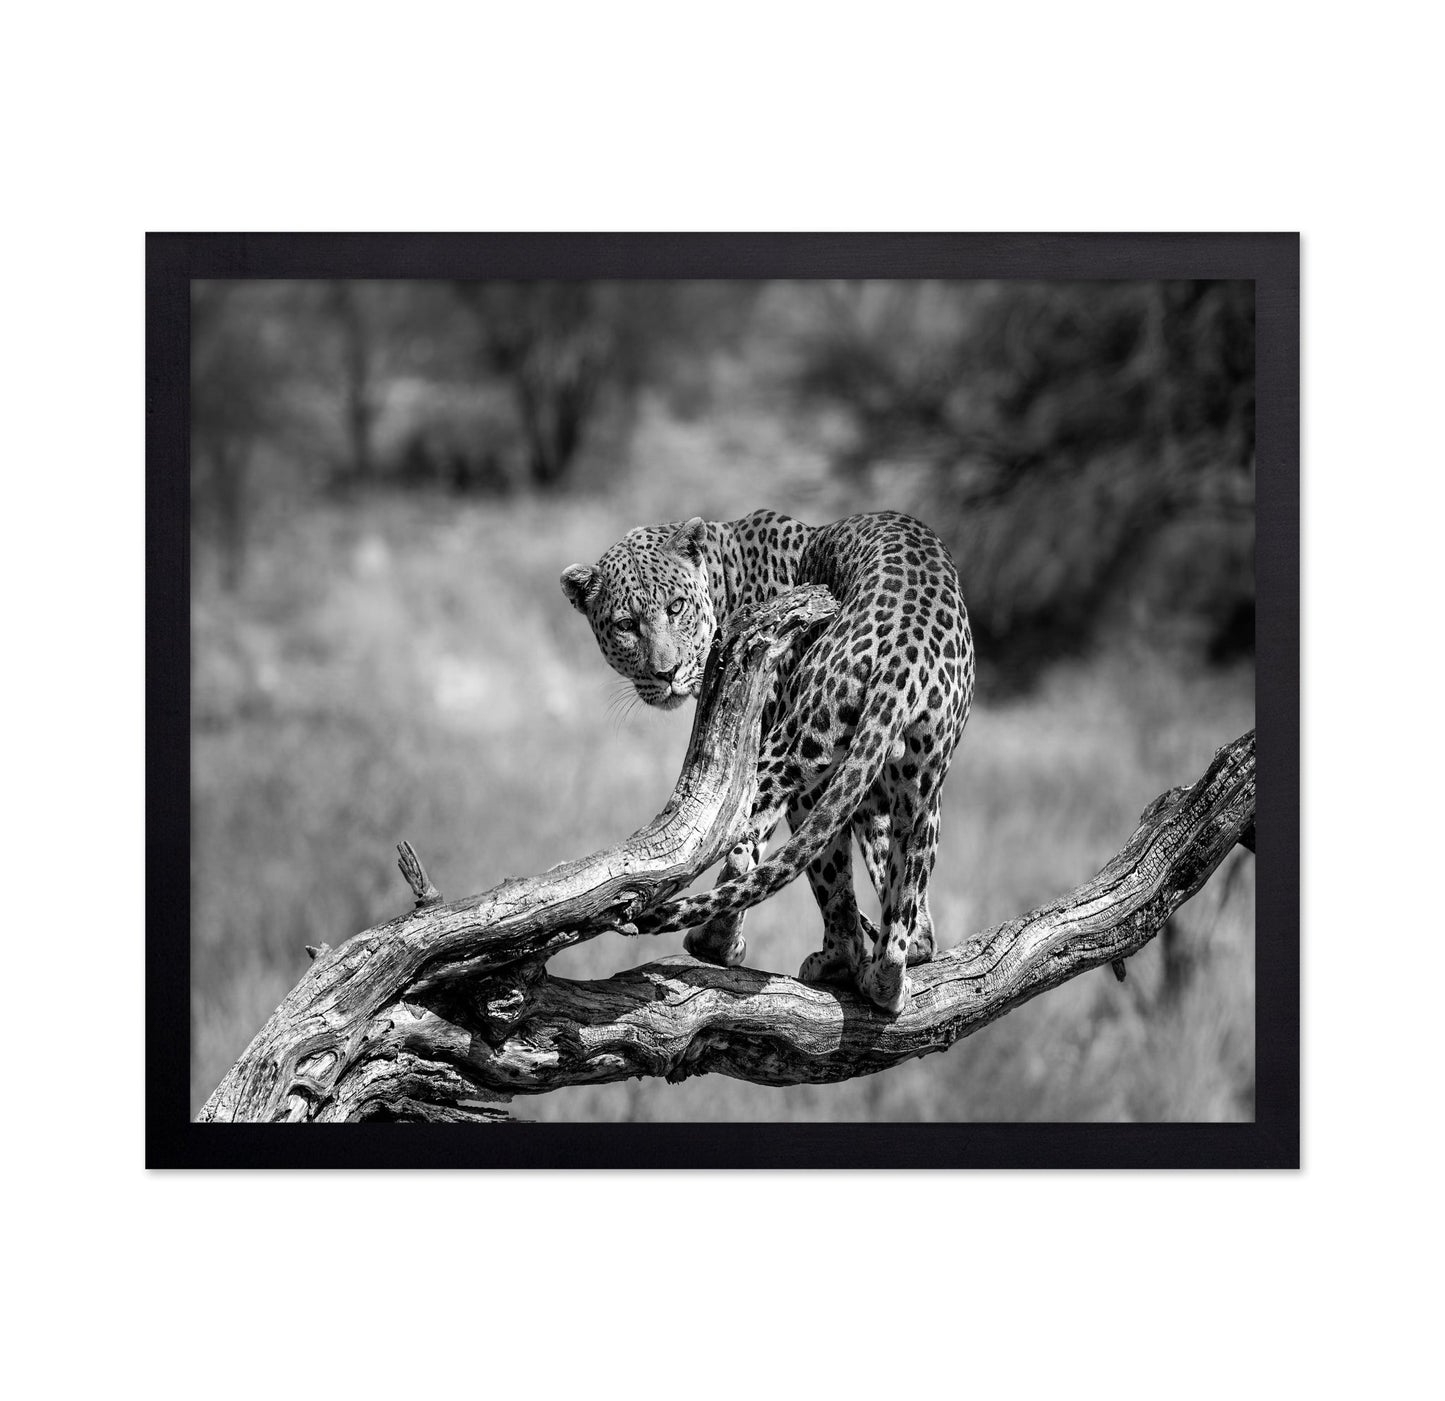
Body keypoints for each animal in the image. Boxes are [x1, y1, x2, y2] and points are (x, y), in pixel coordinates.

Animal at [561, 508, 974, 1015]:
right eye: (625, 624)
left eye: (675, 608)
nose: (667, 672)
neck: (723, 578)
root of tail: (904, 654)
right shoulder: (872, 792)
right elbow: (895, 886)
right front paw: (914, 947)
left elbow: (756, 853)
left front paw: (724, 943)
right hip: (920, 784)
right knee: (904, 891)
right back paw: (886, 977)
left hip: (797, 750)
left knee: (783, 855)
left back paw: (800, 955)